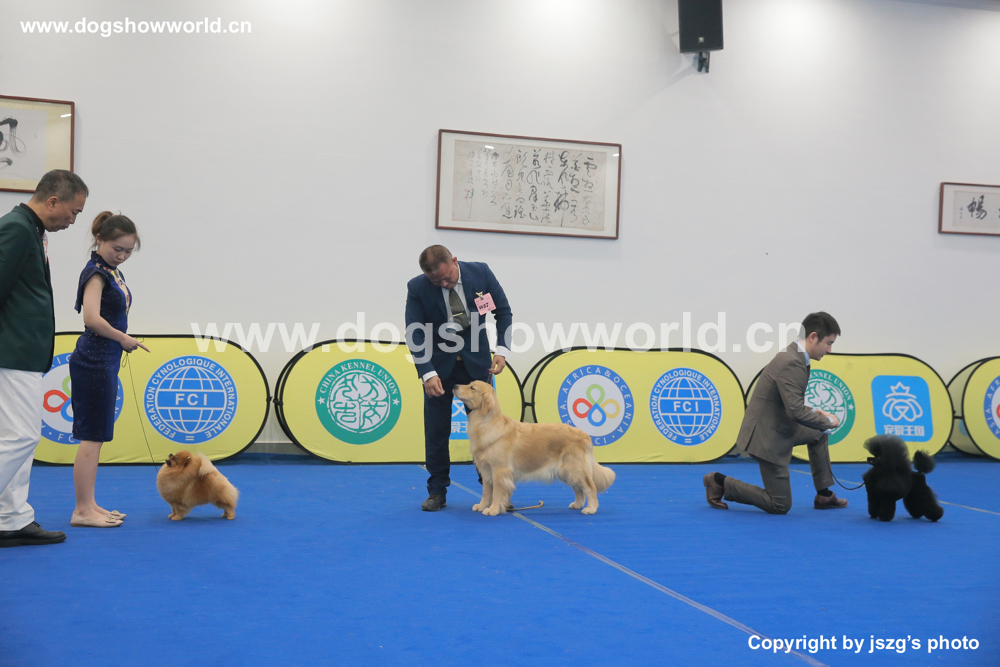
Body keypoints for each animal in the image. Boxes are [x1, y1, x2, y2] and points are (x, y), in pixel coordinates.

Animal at [453, 380, 615, 515]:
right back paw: (577, 504)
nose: (454, 386)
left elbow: (497, 493)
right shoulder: (486, 470)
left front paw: (492, 510)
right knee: (578, 489)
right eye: (469, 384)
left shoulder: (499, 470)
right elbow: (486, 492)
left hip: (575, 469)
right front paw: (482, 506)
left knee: (590, 487)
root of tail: (585, 435)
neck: (485, 423)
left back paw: (590, 508)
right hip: (567, 471)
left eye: (472, 387)